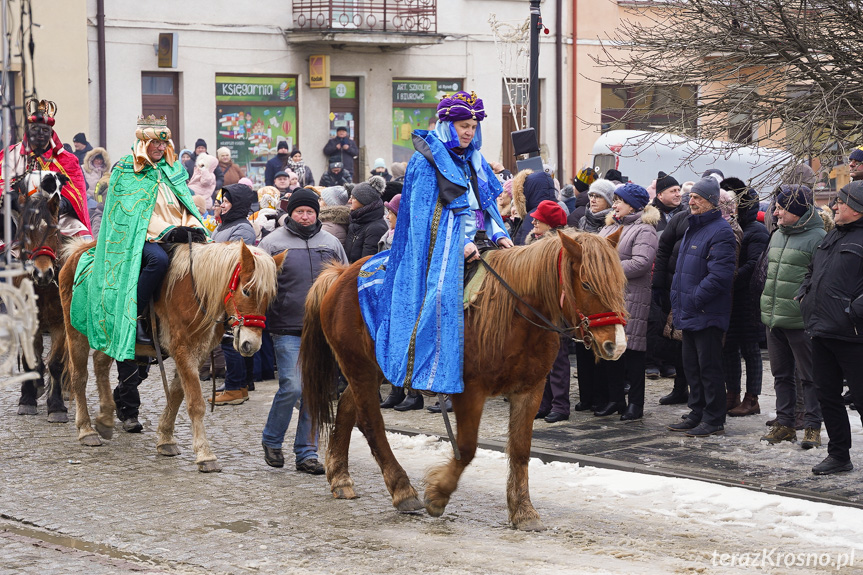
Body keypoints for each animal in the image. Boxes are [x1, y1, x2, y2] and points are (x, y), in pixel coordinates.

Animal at [60, 241, 284, 470]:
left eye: (269, 296)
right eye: (247, 291)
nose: (251, 344)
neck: (197, 292)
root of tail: (78, 250)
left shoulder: (197, 354)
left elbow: (177, 395)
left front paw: (166, 438)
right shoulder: (183, 351)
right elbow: (195, 403)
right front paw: (205, 454)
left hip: (113, 337)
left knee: (100, 363)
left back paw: (105, 418)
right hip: (76, 333)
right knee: (79, 377)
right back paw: (86, 429)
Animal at [300, 228, 624, 532]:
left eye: (620, 282)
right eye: (586, 284)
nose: (616, 345)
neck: (513, 311)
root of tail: (342, 274)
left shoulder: (530, 390)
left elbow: (520, 450)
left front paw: (523, 511)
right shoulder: (470, 391)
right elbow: (467, 448)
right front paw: (438, 494)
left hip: (375, 368)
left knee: (347, 408)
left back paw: (341, 477)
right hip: (360, 367)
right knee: (370, 423)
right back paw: (402, 490)